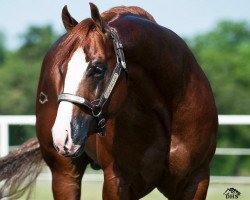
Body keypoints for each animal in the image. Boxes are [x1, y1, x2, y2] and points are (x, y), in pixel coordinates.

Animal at [0, 3, 217, 200]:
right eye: (62, 69)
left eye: (98, 68)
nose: (63, 136)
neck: (169, 115)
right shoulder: (116, 181)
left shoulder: (196, 181)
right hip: (64, 174)